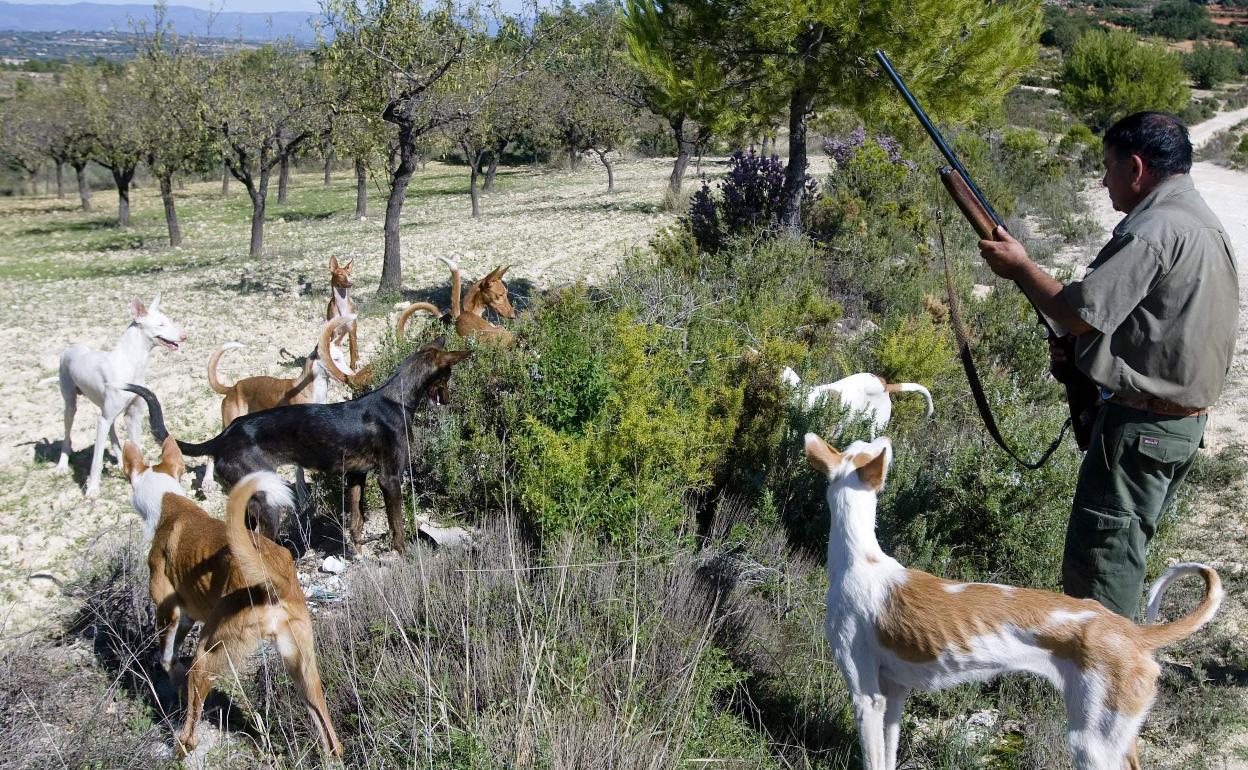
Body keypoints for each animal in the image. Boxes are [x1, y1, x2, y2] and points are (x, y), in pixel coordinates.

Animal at [52, 290, 184, 496]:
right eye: (161, 324)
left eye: (169, 320)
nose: (184, 336)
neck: (131, 363)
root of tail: (69, 348)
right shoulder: (103, 419)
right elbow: (97, 459)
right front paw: (93, 489)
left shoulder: (133, 414)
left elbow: (135, 444)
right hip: (70, 404)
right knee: (68, 434)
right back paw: (62, 465)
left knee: (112, 429)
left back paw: (120, 460)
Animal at [125, 336, 469, 551]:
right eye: (448, 375)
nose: (451, 397)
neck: (396, 399)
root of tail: (222, 438)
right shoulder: (390, 478)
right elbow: (397, 525)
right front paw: (403, 554)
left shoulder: (356, 475)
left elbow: (356, 522)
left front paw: (359, 554)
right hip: (267, 502)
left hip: (248, 505)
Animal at [803, 431, 1223, 768]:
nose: (885, 436)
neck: (859, 559)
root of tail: (1131, 632)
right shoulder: (894, 693)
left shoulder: (866, 697)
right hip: (1117, 733)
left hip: (1092, 741)